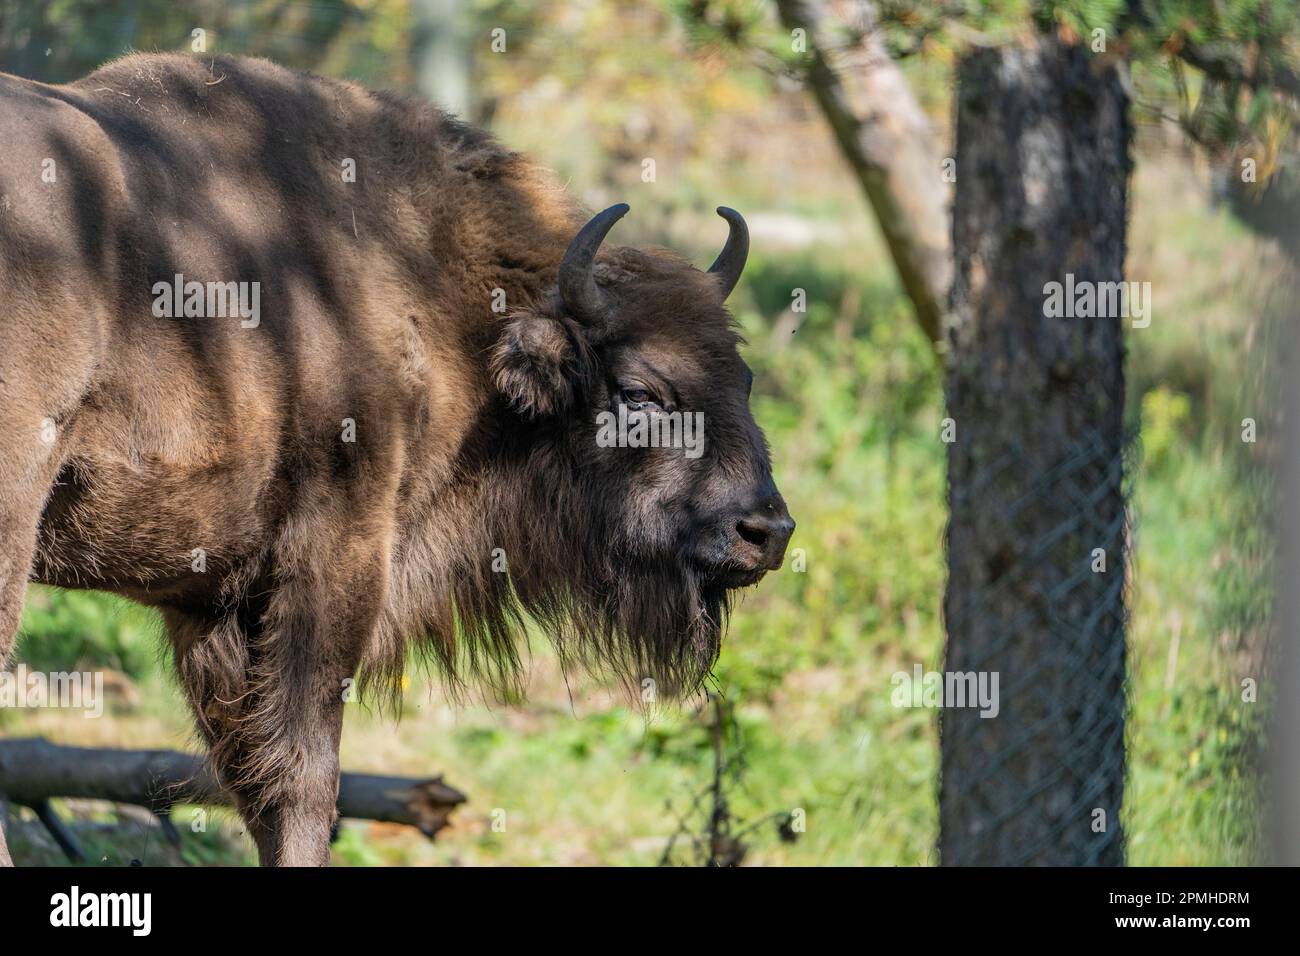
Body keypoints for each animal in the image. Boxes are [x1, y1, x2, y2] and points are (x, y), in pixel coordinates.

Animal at [0, 54, 790, 868]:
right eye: (639, 393)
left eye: (745, 380)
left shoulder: (211, 603)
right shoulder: (336, 558)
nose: (766, 531)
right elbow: (305, 778)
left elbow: (252, 778)